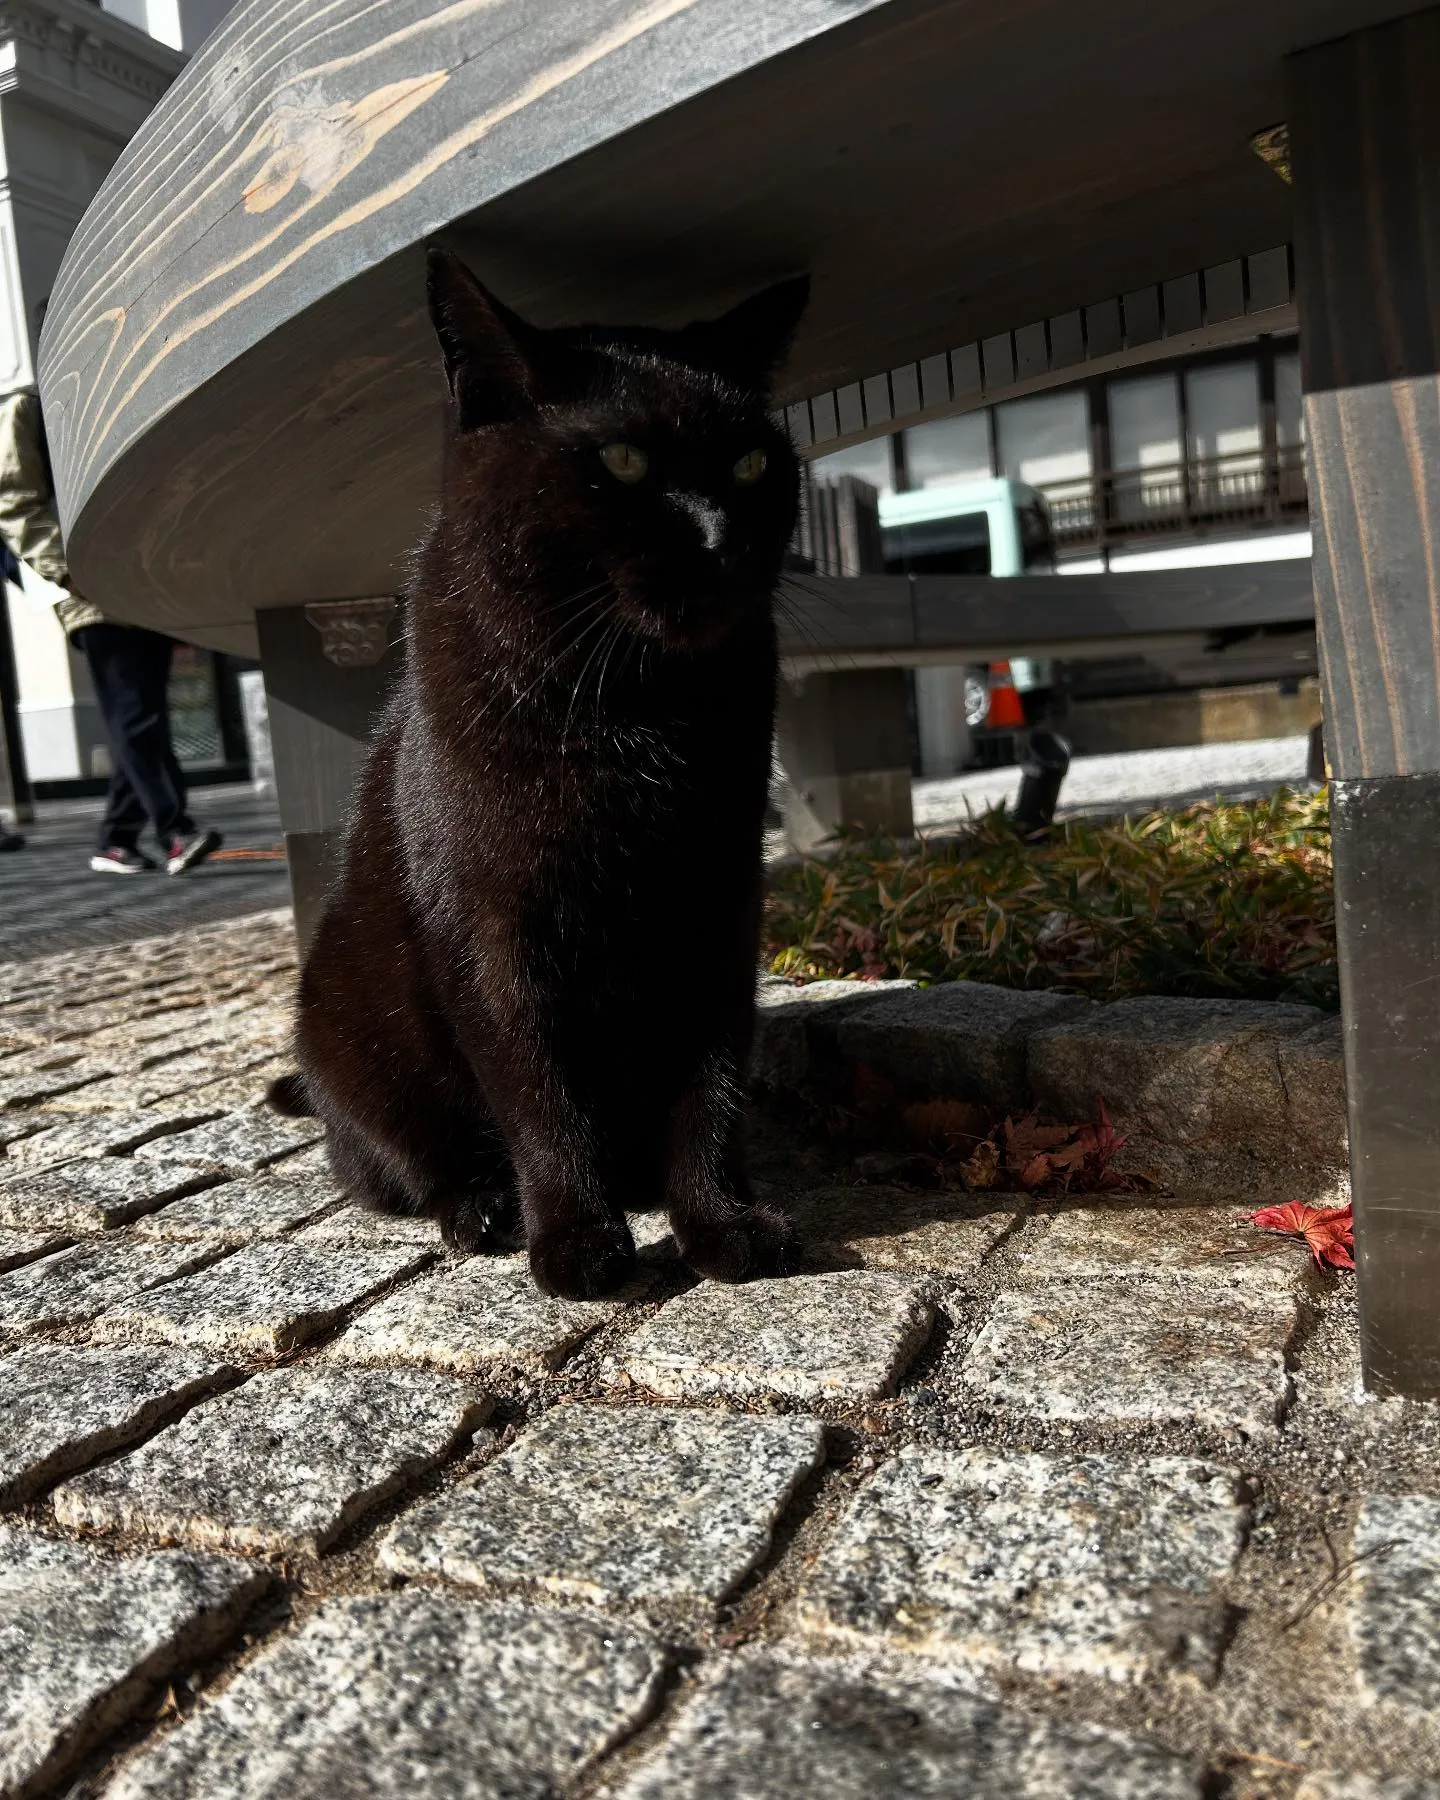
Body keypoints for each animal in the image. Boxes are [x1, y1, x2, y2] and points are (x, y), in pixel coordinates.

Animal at [279, 250, 810, 1296]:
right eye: (624, 462)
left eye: (752, 464)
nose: (721, 538)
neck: (636, 709)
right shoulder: (493, 928)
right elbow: (536, 1088)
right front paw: (574, 1237)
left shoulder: (719, 900)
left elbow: (714, 1079)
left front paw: (720, 1220)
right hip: (351, 1041)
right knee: (398, 1166)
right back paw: (483, 1208)